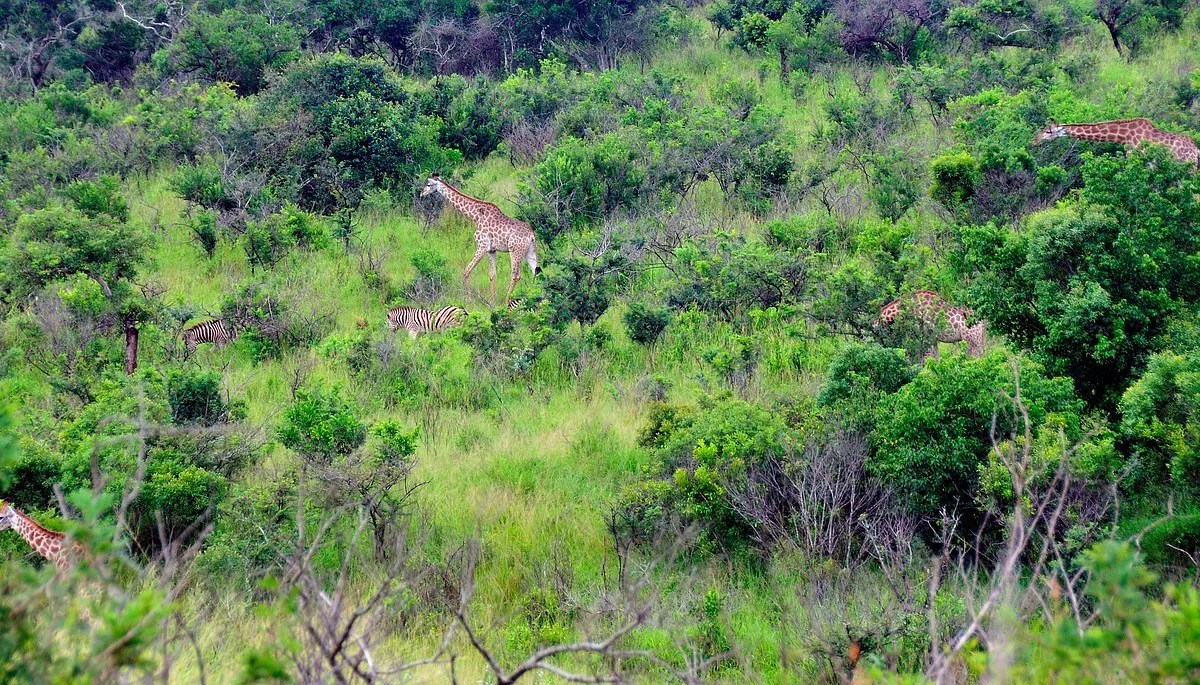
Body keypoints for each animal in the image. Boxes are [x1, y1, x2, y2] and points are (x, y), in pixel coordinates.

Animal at [417, 173, 540, 305]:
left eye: (428, 184)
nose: (421, 193)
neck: (476, 216)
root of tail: (531, 235)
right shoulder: (491, 250)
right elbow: (492, 275)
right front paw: (492, 302)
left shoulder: (482, 246)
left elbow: (466, 271)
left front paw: (469, 300)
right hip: (529, 252)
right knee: (536, 271)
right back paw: (534, 296)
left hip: (515, 251)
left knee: (516, 275)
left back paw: (507, 300)